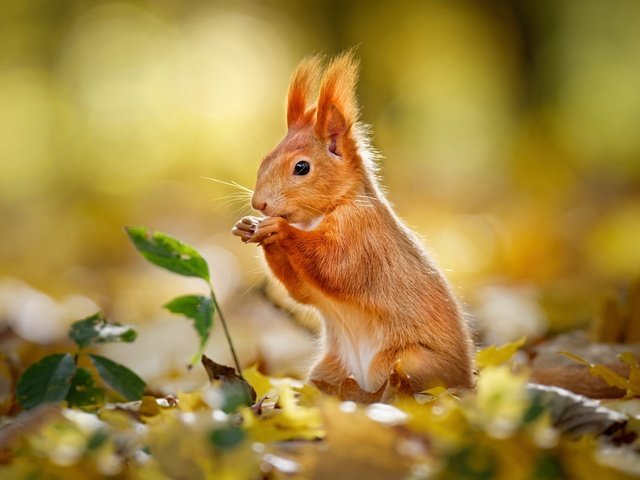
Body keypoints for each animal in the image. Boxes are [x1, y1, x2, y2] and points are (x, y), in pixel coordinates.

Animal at [232, 51, 472, 394]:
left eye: (302, 167)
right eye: (265, 159)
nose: (259, 203)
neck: (321, 215)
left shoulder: (362, 233)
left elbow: (335, 266)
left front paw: (279, 230)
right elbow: (301, 290)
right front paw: (248, 226)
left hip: (409, 363)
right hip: (329, 369)